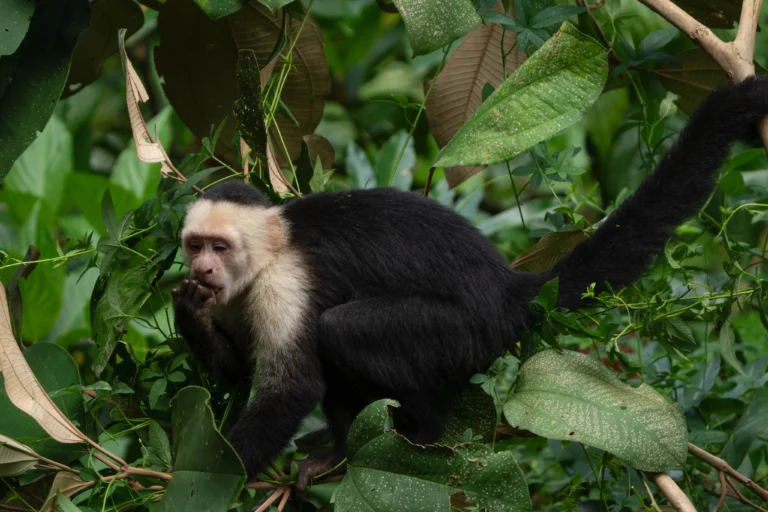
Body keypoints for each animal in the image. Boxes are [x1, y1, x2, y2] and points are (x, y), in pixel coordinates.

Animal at [171, 76, 768, 495]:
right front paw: (189, 314)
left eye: (220, 246)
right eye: (195, 246)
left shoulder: (284, 284)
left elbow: (291, 386)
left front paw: (212, 476)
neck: (264, 261)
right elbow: (238, 369)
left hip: (464, 331)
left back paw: (410, 437)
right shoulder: (236, 299)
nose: (203, 270)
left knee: (342, 330)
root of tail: (507, 288)